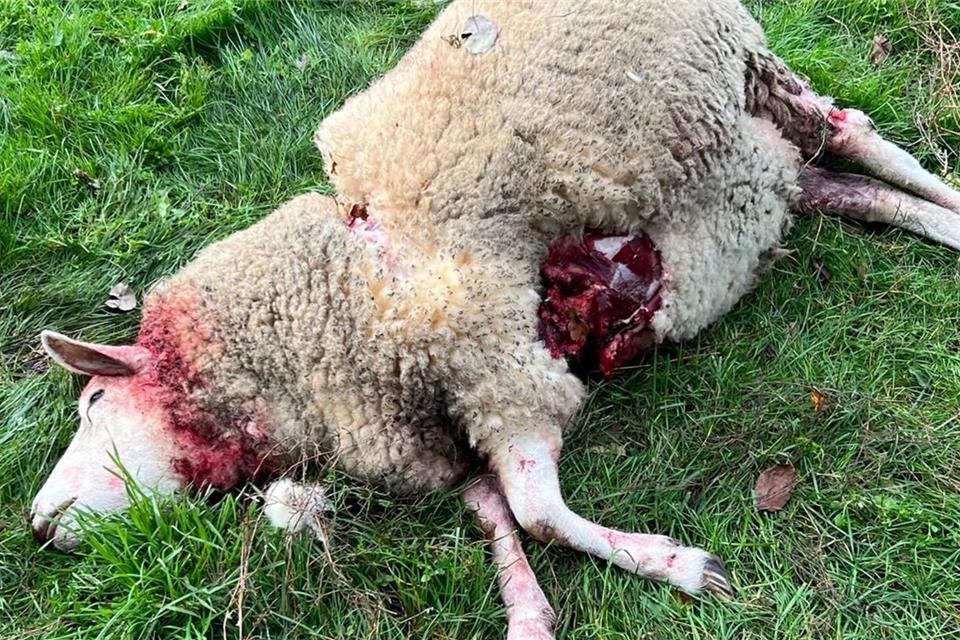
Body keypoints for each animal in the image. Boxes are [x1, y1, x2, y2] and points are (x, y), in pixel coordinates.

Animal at [30, 1, 960, 638]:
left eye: (93, 402)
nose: (37, 524)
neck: (335, 296)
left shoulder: (501, 364)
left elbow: (538, 510)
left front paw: (682, 567)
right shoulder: (437, 427)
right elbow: (495, 512)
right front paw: (527, 610)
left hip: (749, 73)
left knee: (863, 139)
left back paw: (949, 209)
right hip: (756, 173)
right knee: (853, 189)